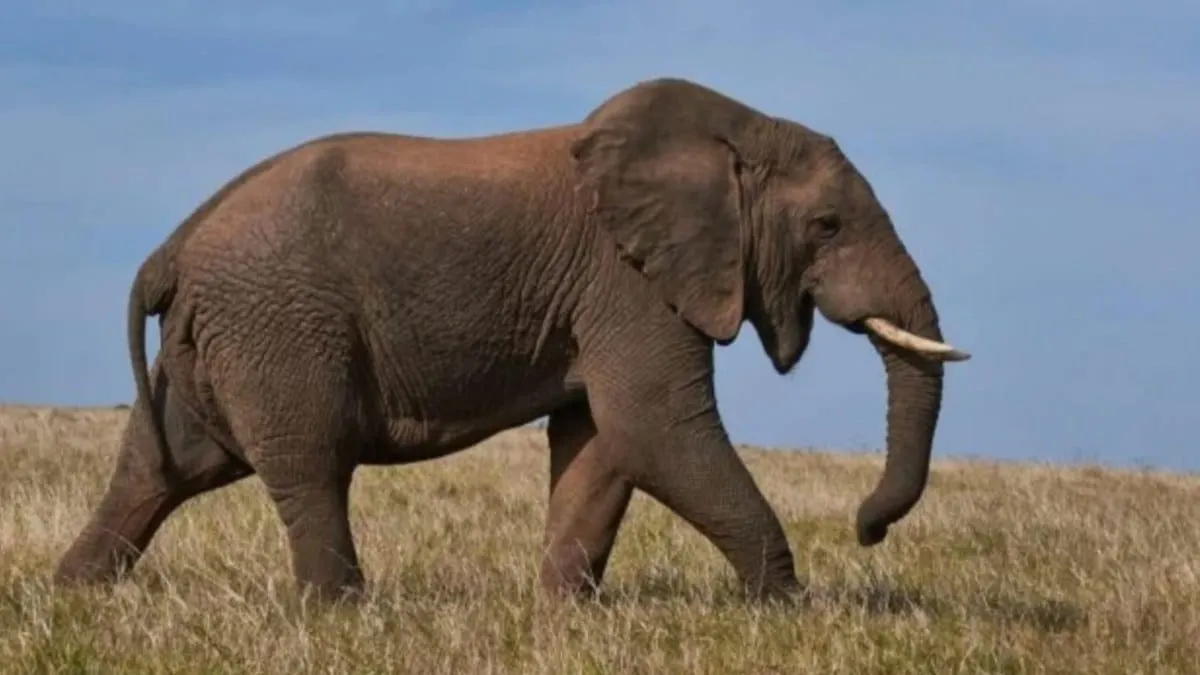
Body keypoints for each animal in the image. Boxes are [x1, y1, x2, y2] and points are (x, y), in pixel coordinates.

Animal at [54, 77, 970, 604]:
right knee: (309, 464)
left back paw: (75, 596)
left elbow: (602, 442)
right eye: (827, 226)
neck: (732, 131)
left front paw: (562, 615)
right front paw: (781, 609)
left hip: (219, 339)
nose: (866, 528)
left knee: (162, 465)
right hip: (277, 323)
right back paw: (341, 614)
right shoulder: (626, 280)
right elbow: (654, 426)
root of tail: (173, 247)